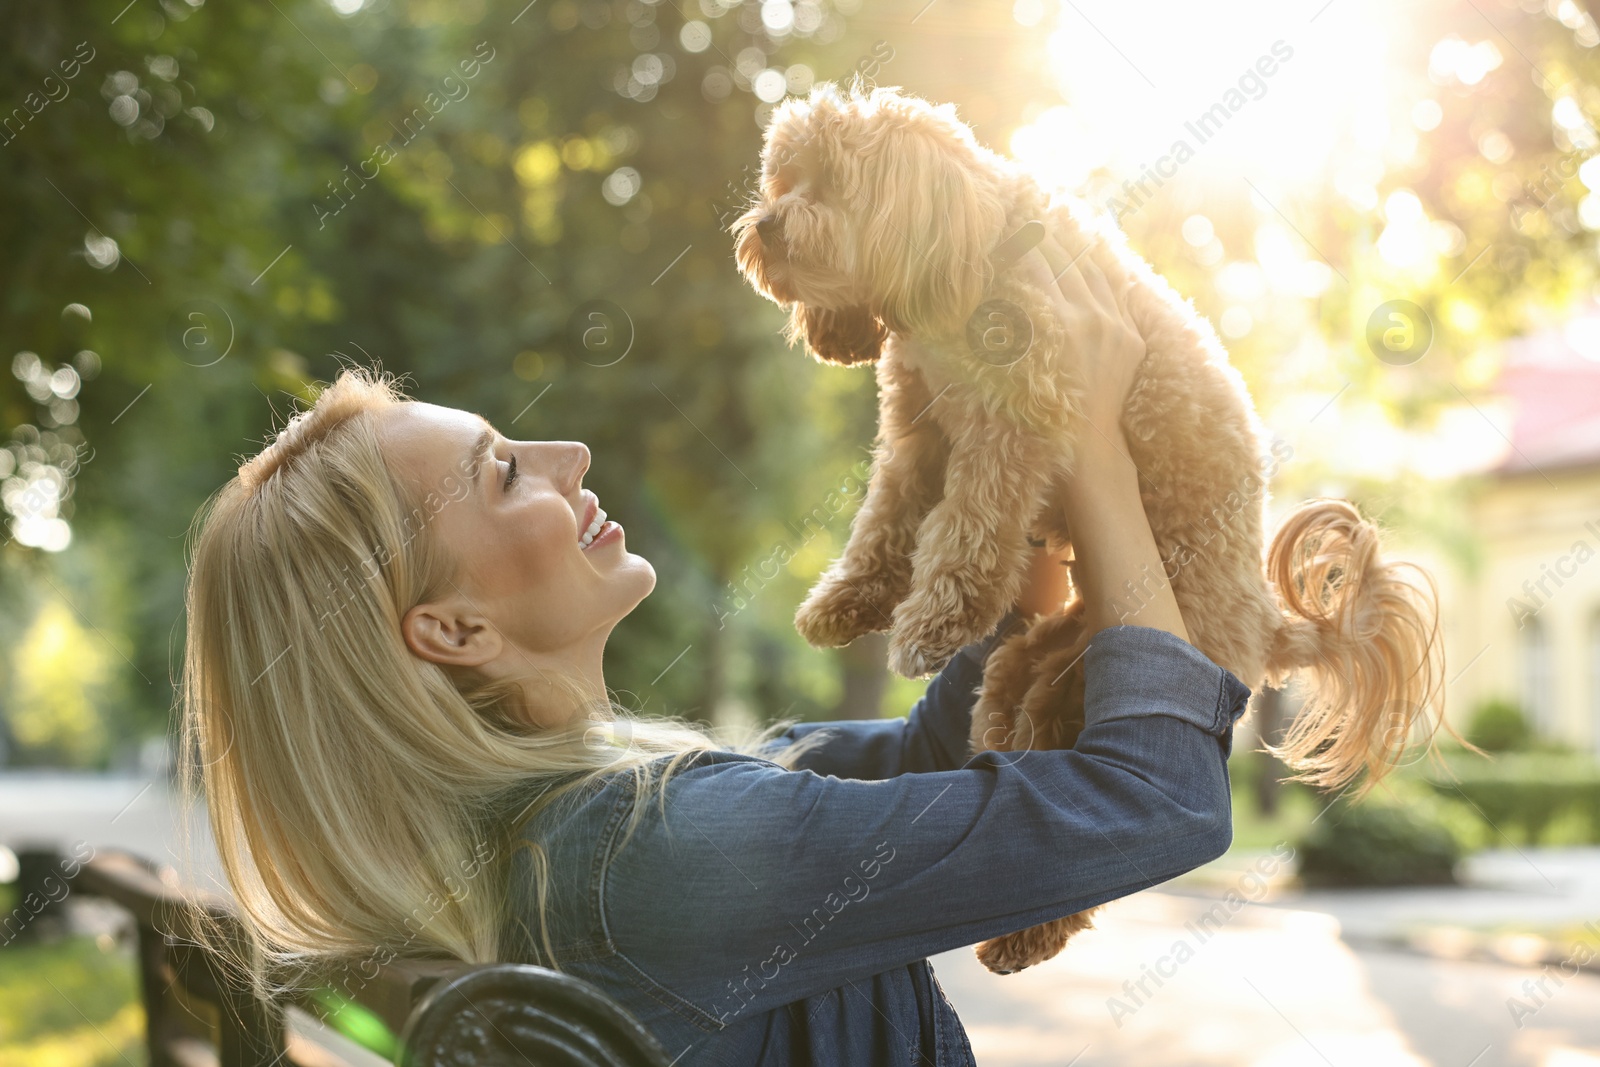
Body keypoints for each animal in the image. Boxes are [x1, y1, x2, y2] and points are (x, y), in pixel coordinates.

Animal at [732, 85, 1446, 979]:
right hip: (1068, 640)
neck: (971, 249)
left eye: (830, 184)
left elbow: (968, 525)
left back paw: (1025, 936)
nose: (765, 226)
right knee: (1018, 694)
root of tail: (1260, 620)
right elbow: (885, 519)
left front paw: (936, 619)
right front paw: (845, 601)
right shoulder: (917, 432)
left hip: (1122, 656)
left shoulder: (1016, 420)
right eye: (781, 179)